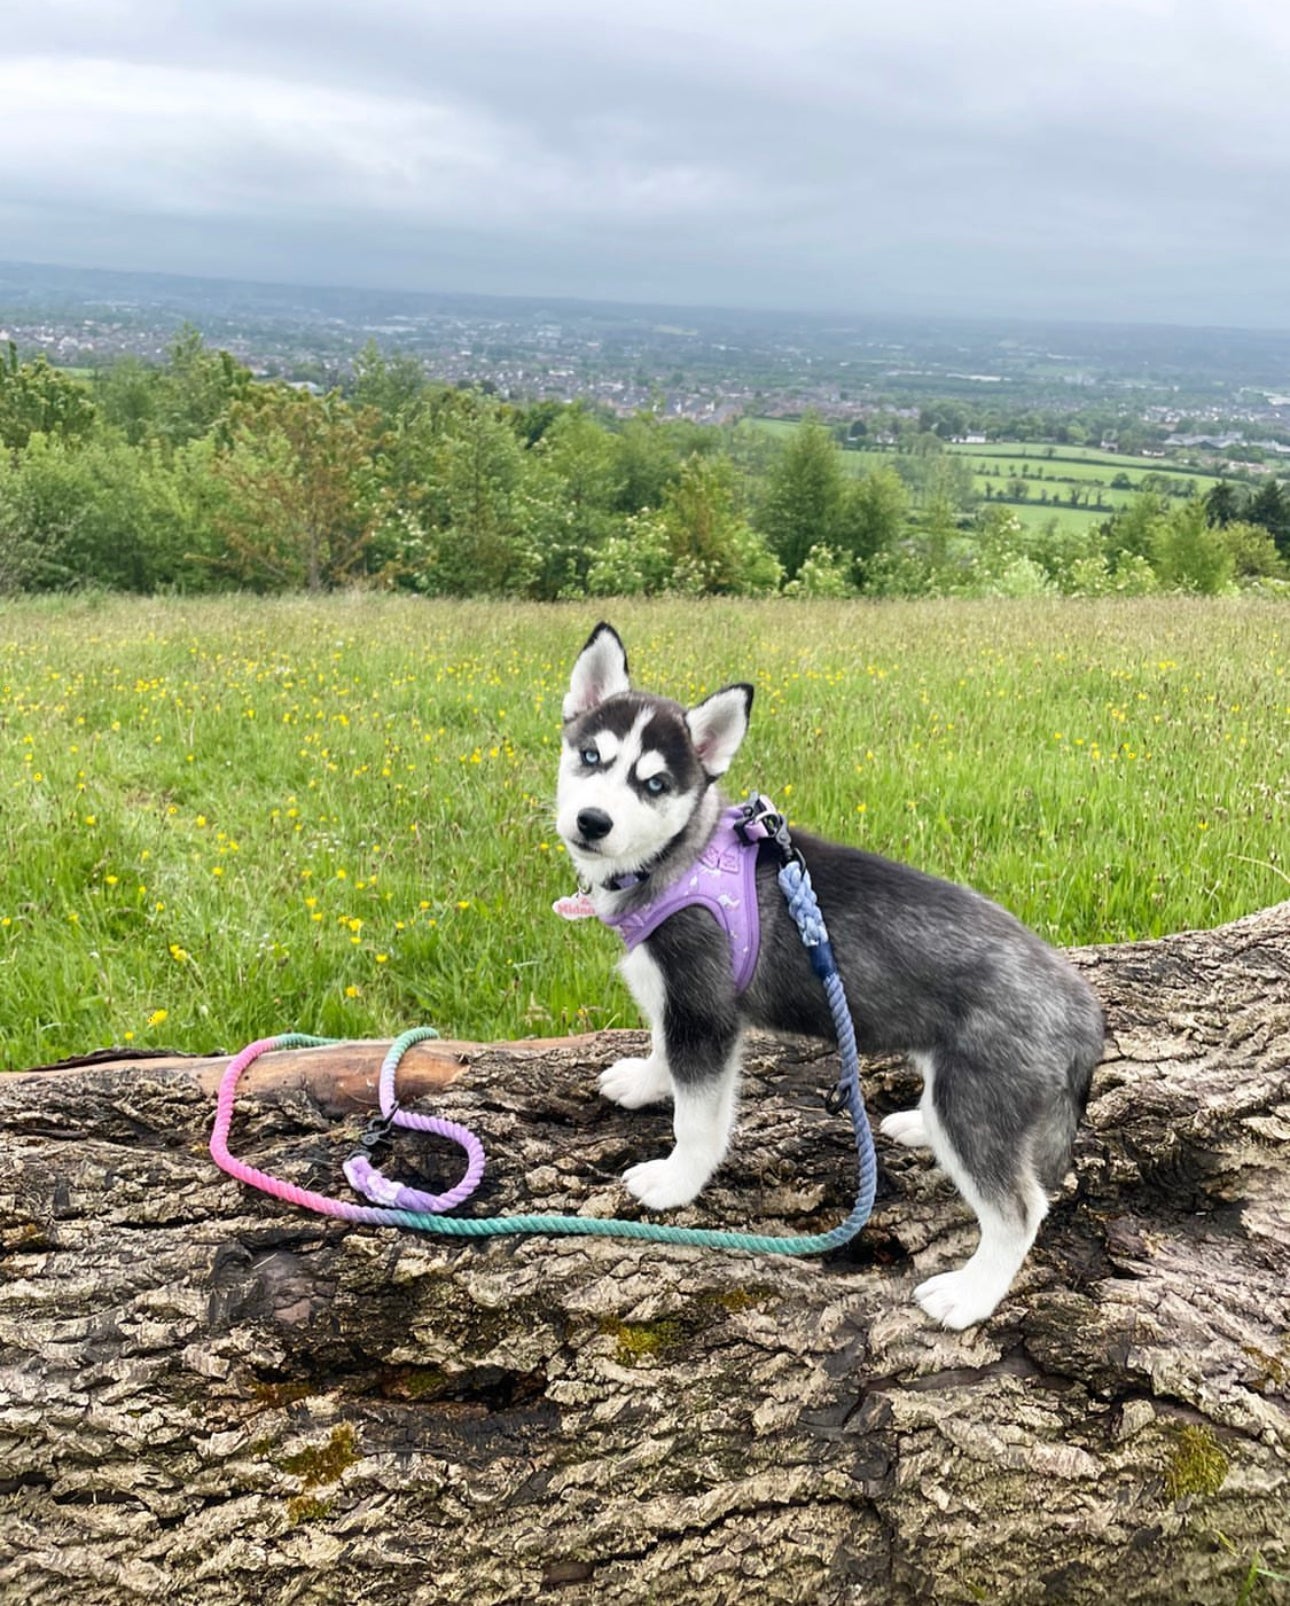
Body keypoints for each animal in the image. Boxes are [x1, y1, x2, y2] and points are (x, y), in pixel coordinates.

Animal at [559, 619, 1111, 1323]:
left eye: (653, 784)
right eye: (590, 757)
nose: (592, 822)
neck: (679, 858)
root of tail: (1081, 1004)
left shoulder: (706, 1011)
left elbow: (697, 1116)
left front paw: (676, 1180)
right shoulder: (678, 1000)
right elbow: (663, 1049)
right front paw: (645, 1081)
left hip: (980, 1099)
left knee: (1019, 1208)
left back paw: (969, 1295)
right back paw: (919, 1124)